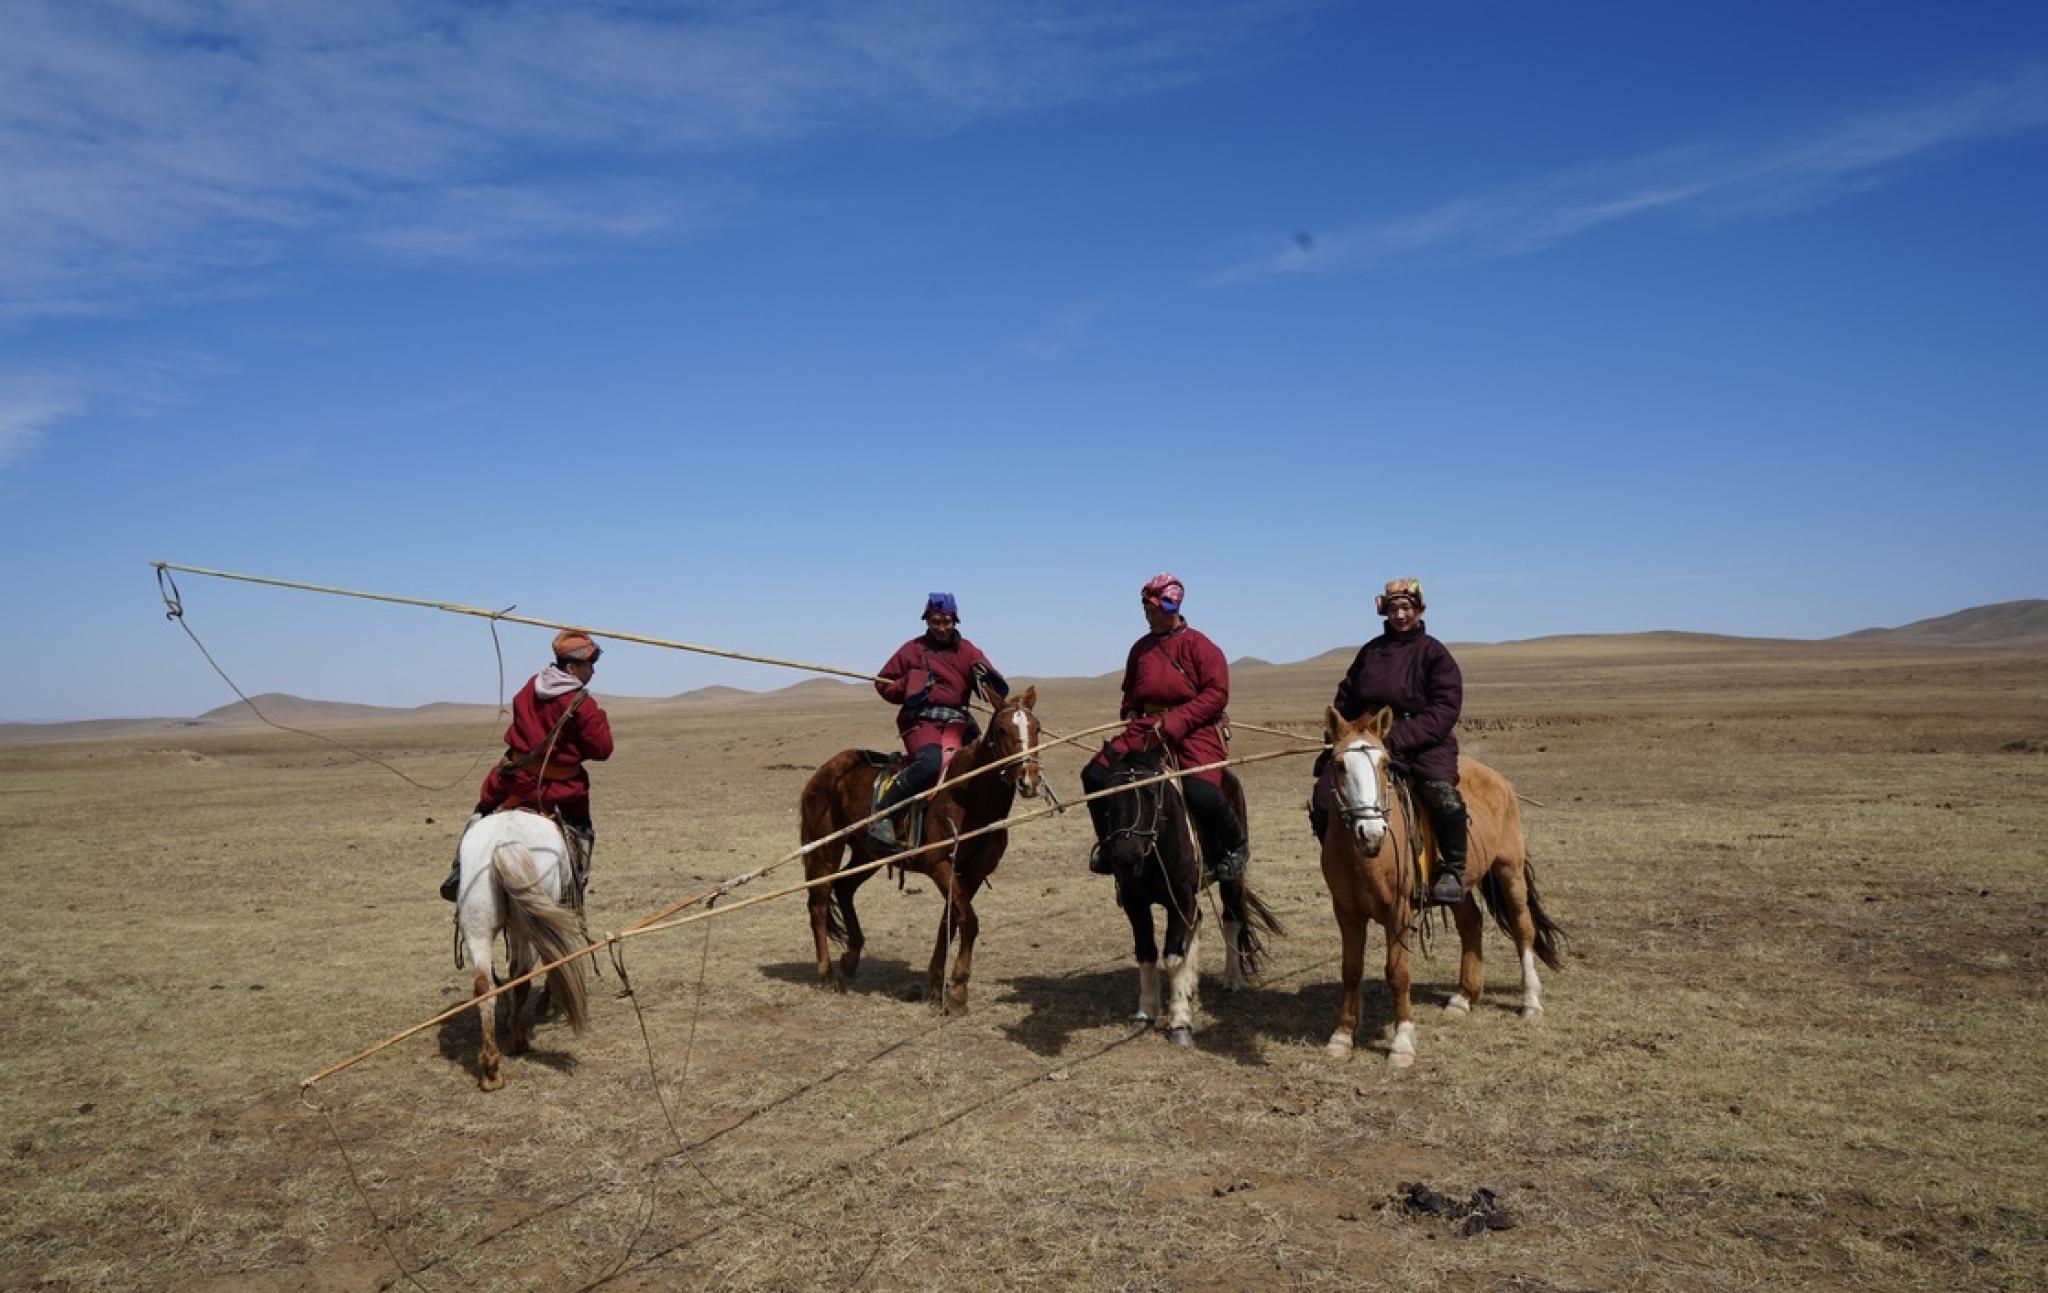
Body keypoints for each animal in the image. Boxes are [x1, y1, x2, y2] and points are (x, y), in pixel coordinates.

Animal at [456, 815, 593, 1090]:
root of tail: (504, 842)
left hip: (477, 925)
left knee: (484, 987)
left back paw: (491, 1069)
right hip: (528, 927)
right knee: (522, 980)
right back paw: (517, 1042)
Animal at [802, 688, 1048, 1012]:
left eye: (1037, 728)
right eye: (1001, 730)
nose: (1028, 779)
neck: (966, 794)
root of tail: (825, 770)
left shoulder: (973, 871)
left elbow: (950, 921)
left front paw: (937, 981)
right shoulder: (939, 864)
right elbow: (968, 921)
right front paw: (958, 989)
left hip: (867, 853)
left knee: (844, 888)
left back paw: (851, 957)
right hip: (826, 847)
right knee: (818, 903)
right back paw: (827, 974)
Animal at [1097, 741, 1269, 1049]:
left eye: (1151, 793)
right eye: (1108, 796)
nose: (1125, 855)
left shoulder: (1180, 899)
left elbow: (1173, 956)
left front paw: (1179, 1021)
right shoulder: (1134, 904)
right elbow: (1147, 953)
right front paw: (1145, 1013)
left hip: (1231, 880)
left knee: (1231, 920)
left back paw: (1231, 979)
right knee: (1197, 921)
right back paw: (1191, 984)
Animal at [1318, 704, 1556, 1065]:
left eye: (1385, 763)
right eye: (1339, 764)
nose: (1371, 833)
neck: (1364, 856)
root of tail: (1499, 781)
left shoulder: (1398, 911)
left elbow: (1398, 972)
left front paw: (1402, 1043)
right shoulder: (1345, 910)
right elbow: (1351, 968)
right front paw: (1342, 1036)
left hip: (1509, 869)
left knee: (1522, 928)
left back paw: (1530, 1003)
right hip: (1458, 885)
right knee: (1471, 923)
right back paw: (1463, 998)